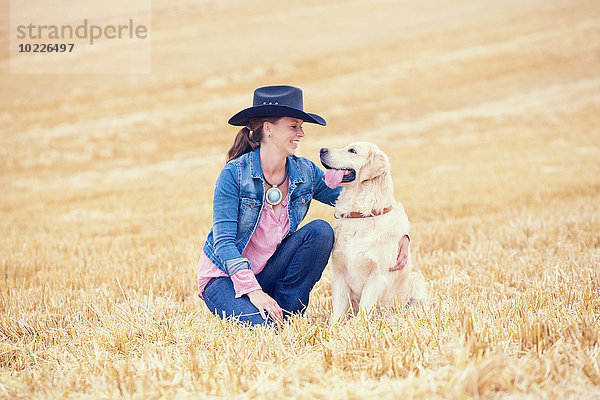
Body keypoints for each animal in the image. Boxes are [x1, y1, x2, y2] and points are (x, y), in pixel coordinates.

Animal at [318, 142, 426, 324]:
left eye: (352, 150)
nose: (322, 150)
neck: (360, 215)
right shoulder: (339, 272)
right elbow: (338, 310)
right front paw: (333, 328)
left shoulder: (376, 275)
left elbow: (365, 307)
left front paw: (359, 328)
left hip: (417, 280)